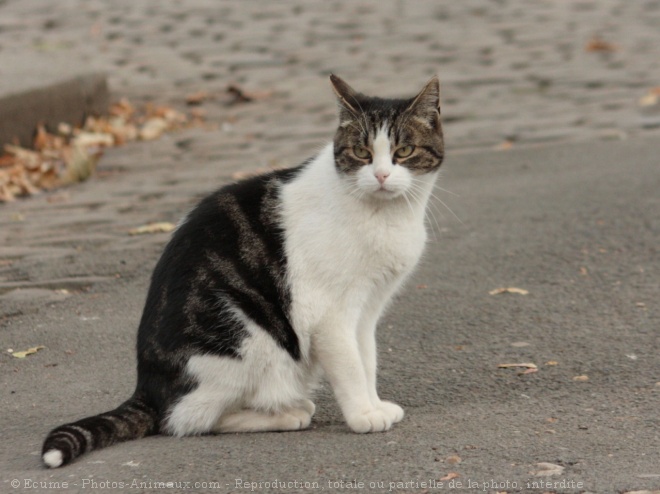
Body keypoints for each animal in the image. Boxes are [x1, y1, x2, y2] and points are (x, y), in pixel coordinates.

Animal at [41, 73, 444, 466]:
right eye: (362, 152)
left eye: (403, 151)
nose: (381, 176)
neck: (384, 215)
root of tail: (148, 387)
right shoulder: (329, 314)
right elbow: (349, 366)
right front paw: (363, 415)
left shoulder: (367, 309)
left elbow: (367, 360)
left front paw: (374, 405)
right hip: (248, 335)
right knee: (188, 419)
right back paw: (287, 413)